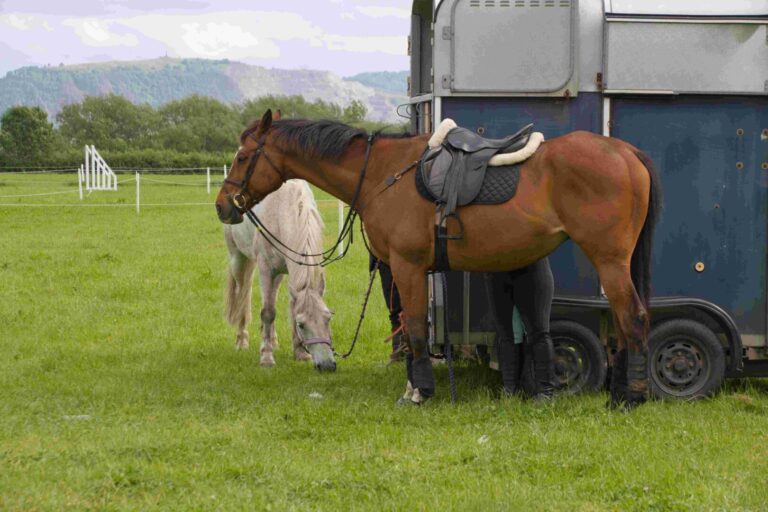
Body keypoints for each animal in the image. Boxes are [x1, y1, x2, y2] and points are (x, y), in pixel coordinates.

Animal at [223, 178, 336, 372]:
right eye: (302, 325)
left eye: (328, 319)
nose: (327, 365)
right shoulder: (266, 269)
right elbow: (267, 312)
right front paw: (266, 357)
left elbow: (289, 308)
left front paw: (300, 353)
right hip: (238, 259)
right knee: (243, 295)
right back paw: (242, 340)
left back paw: (273, 341)